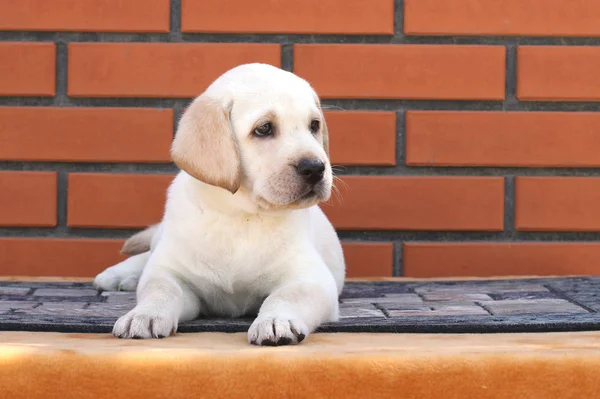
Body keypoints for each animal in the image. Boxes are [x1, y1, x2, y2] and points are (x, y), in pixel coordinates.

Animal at [94, 62, 346, 346]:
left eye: (314, 125)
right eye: (264, 128)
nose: (315, 168)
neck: (240, 214)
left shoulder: (310, 277)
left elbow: (286, 296)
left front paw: (275, 320)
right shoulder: (174, 274)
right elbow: (160, 288)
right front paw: (144, 314)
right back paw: (117, 274)